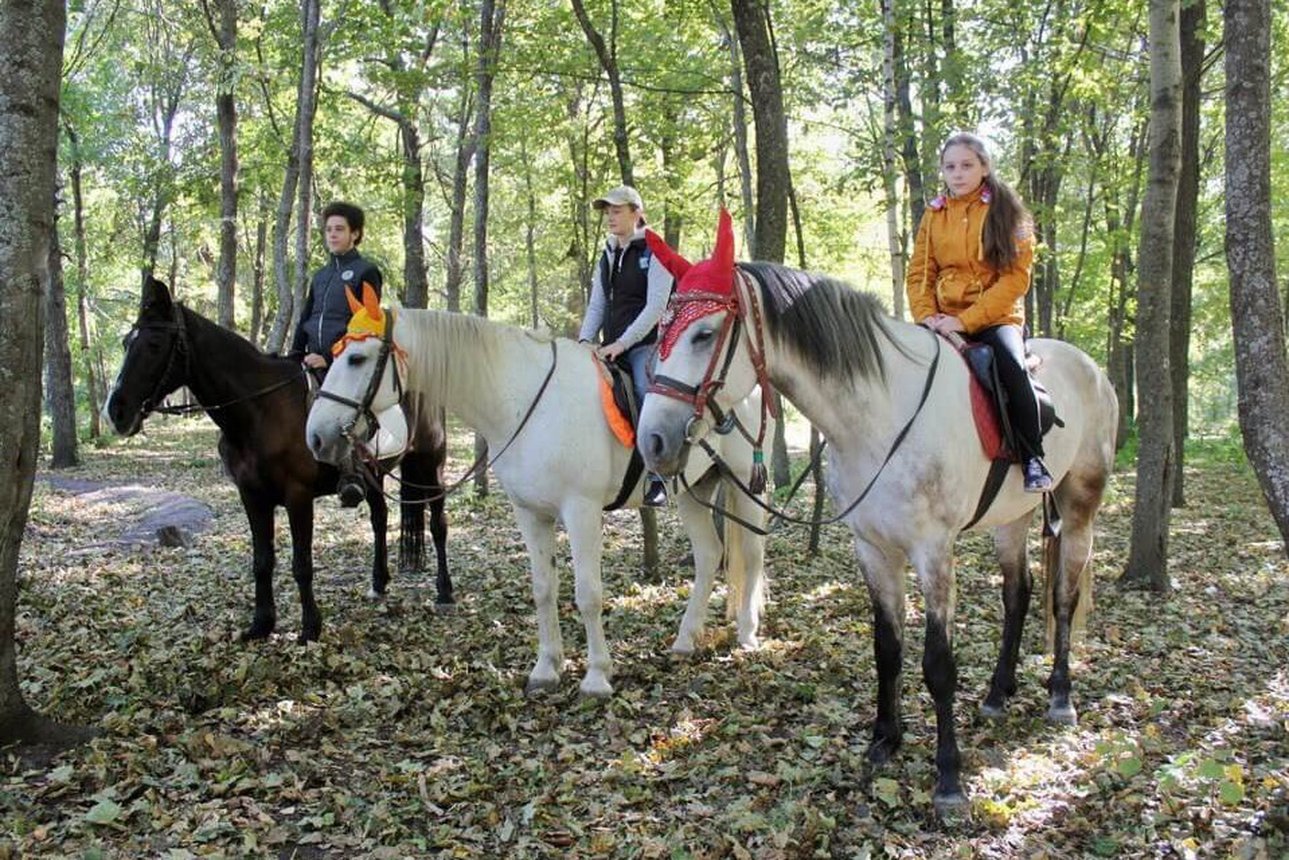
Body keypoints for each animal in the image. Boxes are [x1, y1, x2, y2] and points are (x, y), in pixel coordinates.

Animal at [104, 279, 453, 642]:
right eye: (127, 342)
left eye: (155, 344)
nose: (116, 412)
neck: (259, 409)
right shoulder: (252, 496)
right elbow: (262, 561)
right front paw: (261, 624)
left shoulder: (298, 496)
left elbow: (302, 564)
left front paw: (310, 628)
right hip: (374, 474)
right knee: (379, 518)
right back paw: (379, 583)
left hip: (431, 463)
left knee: (437, 524)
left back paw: (444, 592)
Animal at [641, 210, 1118, 814]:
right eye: (661, 332)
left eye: (704, 334)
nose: (652, 440)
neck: (880, 413)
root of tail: (1092, 370)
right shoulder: (872, 547)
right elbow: (887, 648)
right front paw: (884, 741)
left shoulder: (933, 551)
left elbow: (937, 664)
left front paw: (948, 778)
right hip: (1013, 516)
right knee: (1018, 594)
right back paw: (997, 692)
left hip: (1079, 506)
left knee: (1062, 598)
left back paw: (1060, 696)